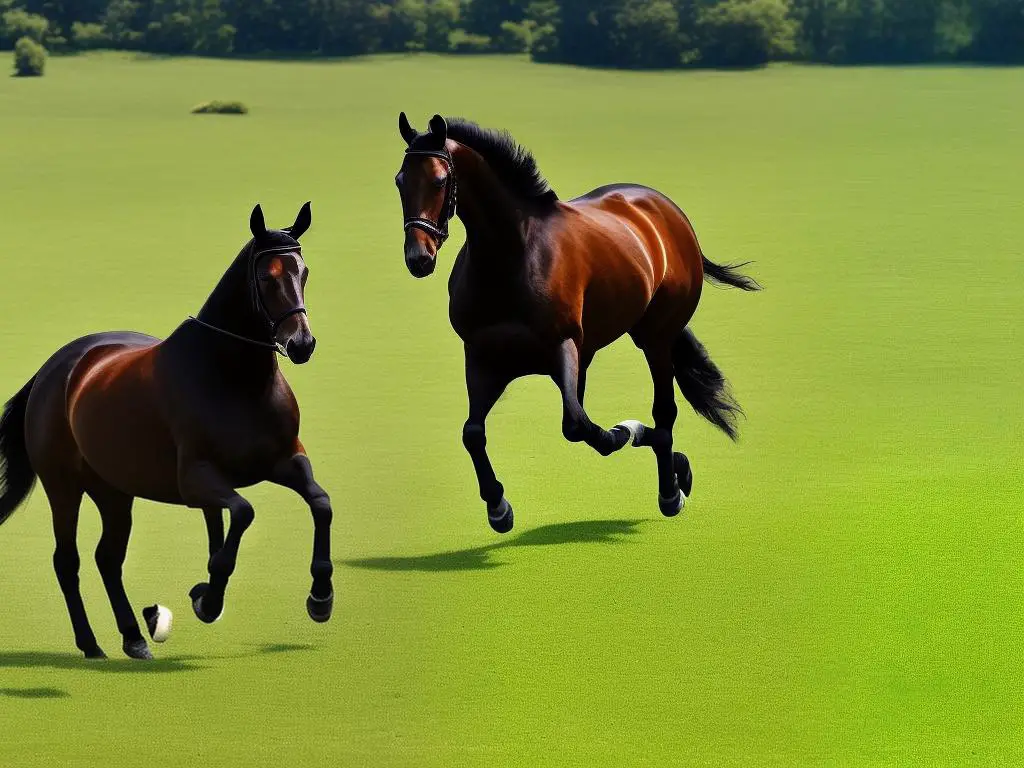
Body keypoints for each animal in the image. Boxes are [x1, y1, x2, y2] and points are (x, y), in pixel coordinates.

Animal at [0, 204, 335, 663]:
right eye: (266, 276)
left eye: (304, 272)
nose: (302, 344)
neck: (235, 378)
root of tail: (55, 369)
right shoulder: (196, 480)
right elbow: (242, 514)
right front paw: (207, 599)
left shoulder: (285, 460)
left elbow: (320, 503)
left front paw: (320, 598)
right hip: (63, 486)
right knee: (68, 562)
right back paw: (91, 643)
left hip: (114, 491)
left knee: (108, 558)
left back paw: (133, 637)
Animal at [395, 115, 765, 536]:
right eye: (400, 180)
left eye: (440, 180)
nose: (418, 258)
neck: (512, 258)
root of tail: (666, 210)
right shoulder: (482, 358)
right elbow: (472, 433)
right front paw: (498, 508)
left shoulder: (564, 348)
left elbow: (579, 425)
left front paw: (627, 432)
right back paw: (675, 472)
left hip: (656, 339)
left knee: (664, 412)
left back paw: (669, 491)